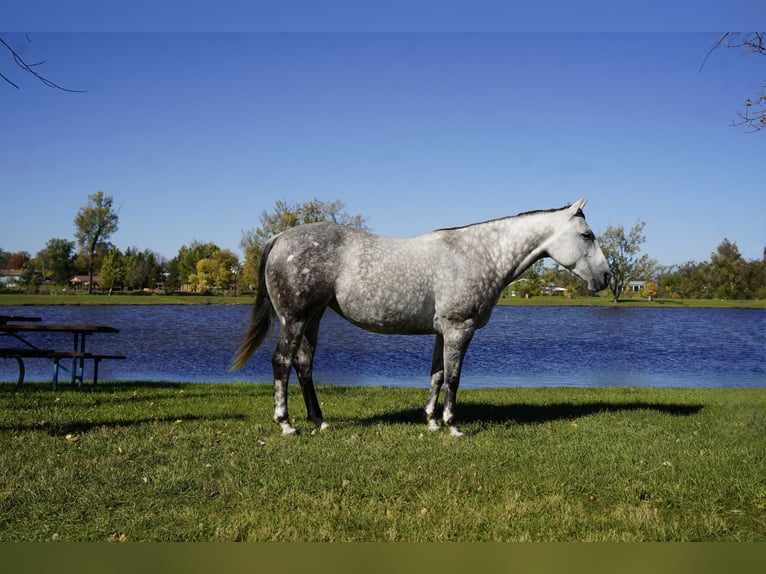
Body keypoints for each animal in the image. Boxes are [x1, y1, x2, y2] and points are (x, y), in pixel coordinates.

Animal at [231, 198, 610, 436]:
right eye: (586, 235)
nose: (606, 277)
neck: (480, 254)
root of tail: (281, 237)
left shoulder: (443, 331)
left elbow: (437, 375)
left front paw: (430, 421)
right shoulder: (460, 329)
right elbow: (454, 378)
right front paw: (452, 426)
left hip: (313, 317)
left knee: (303, 364)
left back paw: (320, 421)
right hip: (294, 318)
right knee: (282, 362)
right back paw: (286, 424)